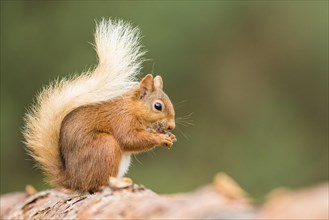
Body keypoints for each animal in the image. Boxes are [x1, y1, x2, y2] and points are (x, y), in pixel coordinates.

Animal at [22, 18, 177, 192]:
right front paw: (161, 138)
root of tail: (73, 180)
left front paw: (170, 136)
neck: (132, 108)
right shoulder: (122, 119)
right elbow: (130, 139)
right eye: (158, 106)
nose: (171, 126)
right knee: (97, 184)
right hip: (105, 146)